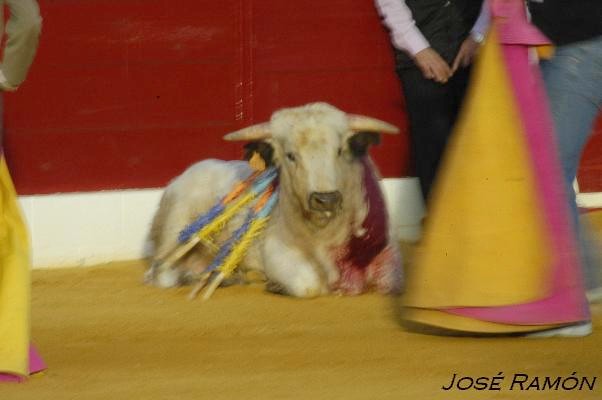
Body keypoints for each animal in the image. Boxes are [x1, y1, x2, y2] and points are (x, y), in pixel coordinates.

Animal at [144, 102, 400, 296]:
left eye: (339, 150)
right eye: (290, 155)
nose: (325, 199)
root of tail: (179, 178)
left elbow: (391, 283)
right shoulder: (277, 250)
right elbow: (308, 285)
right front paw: (276, 284)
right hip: (176, 228)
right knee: (160, 272)